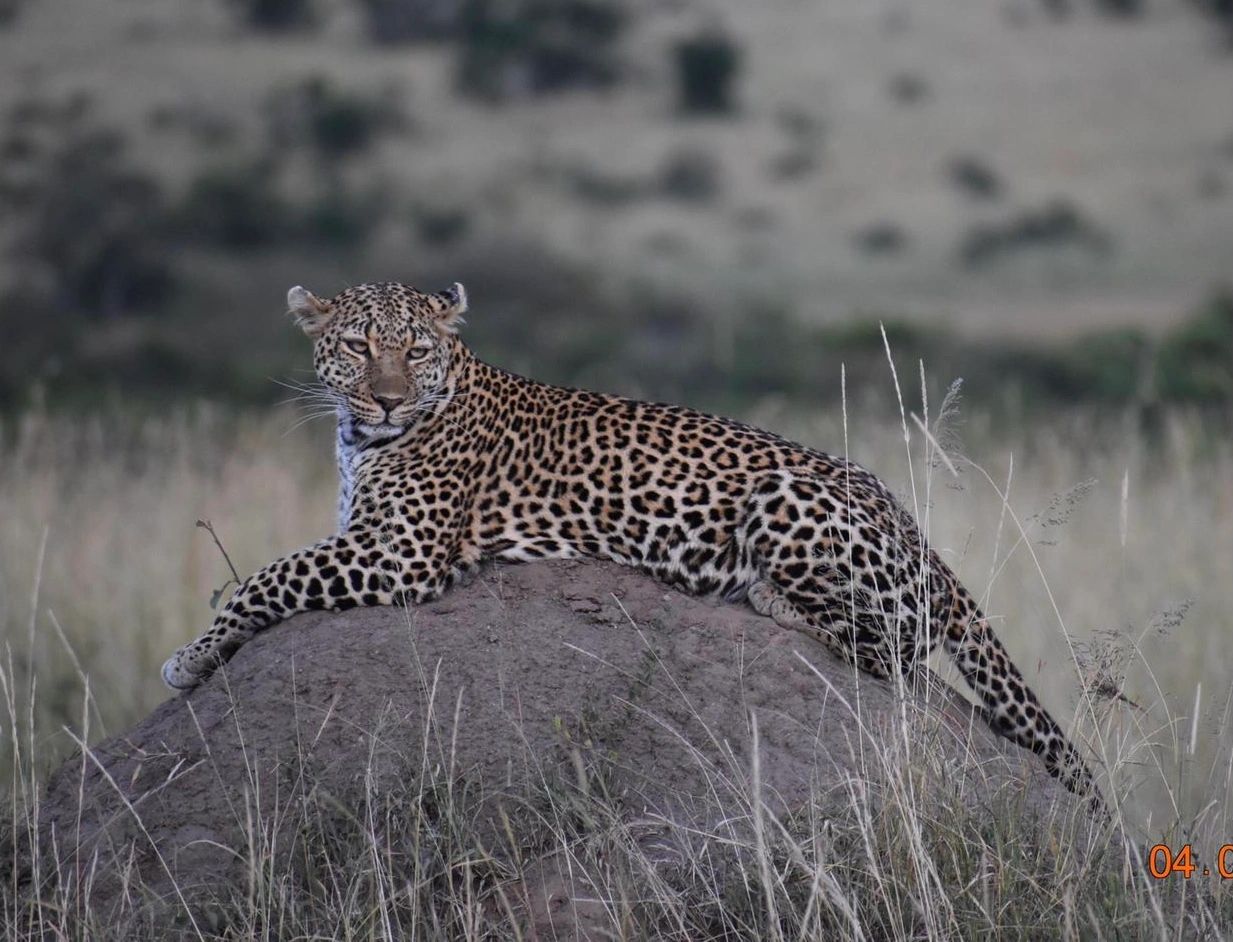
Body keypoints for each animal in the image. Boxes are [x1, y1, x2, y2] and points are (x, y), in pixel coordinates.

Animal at [161, 280, 1100, 801]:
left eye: (416, 350)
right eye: (356, 346)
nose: (386, 399)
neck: (367, 437)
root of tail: (920, 534)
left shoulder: (403, 556)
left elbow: (267, 576)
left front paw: (191, 658)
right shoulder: (367, 539)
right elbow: (278, 568)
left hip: (787, 496)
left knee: (892, 650)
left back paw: (767, 597)